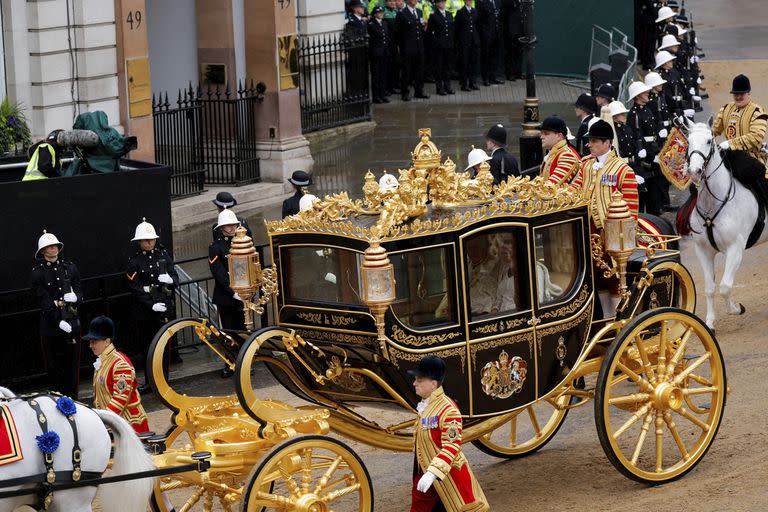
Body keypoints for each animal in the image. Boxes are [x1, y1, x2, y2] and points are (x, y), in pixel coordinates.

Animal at [684, 119, 768, 328]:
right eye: (688, 141)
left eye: (709, 141)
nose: (694, 172)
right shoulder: (703, 251)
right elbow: (709, 288)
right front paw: (709, 324)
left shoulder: (735, 249)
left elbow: (725, 286)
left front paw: (737, 308)